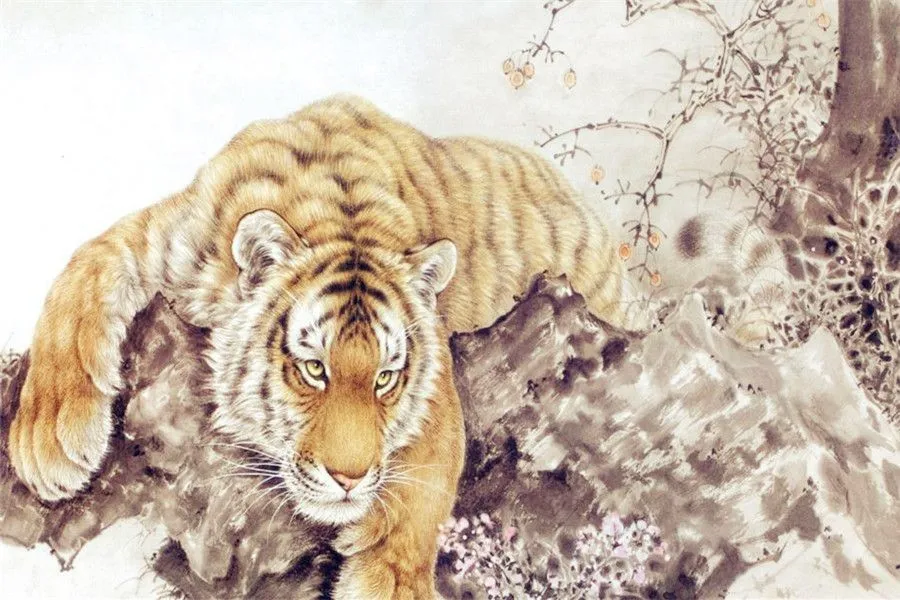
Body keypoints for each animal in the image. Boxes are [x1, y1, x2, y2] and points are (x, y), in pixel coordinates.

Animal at [6, 95, 624, 598]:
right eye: (313, 369)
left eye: (385, 378)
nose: (348, 480)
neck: (337, 208)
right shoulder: (159, 238)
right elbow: (78, 277)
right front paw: (47, 441)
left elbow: (426, 479)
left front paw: (389, 582)